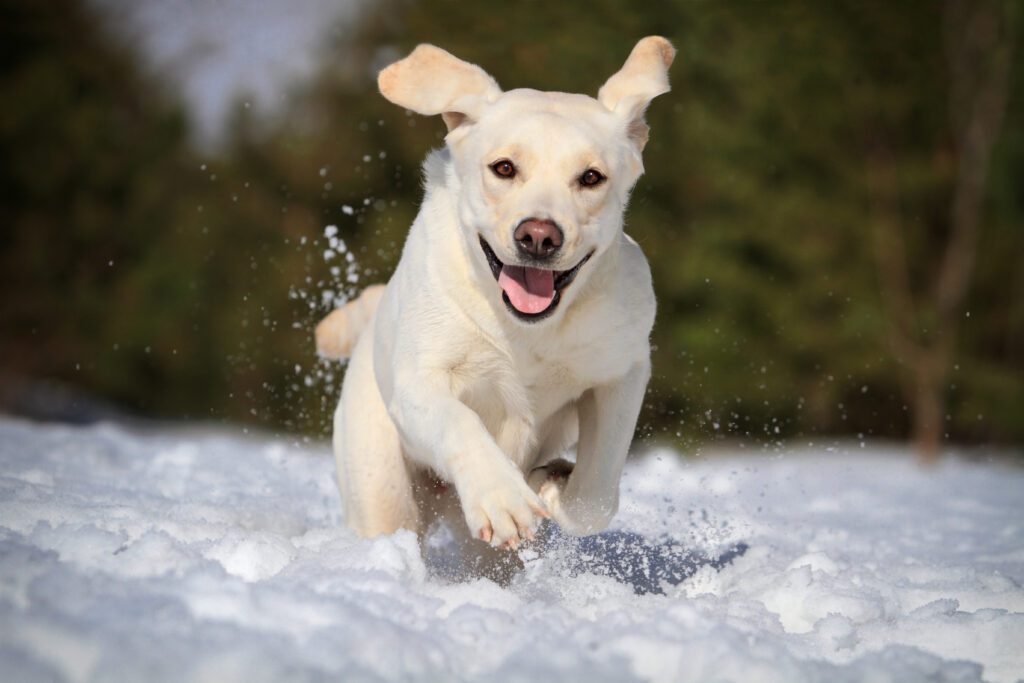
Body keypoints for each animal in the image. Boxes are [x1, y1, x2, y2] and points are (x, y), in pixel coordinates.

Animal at [317, 34, 671, 565]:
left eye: (591, 177)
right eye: (504, 168)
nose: (539, 237)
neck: (528, 334)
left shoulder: (621, 374)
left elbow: (597, 492)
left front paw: (550, 483)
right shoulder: (419, 384)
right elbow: (460, 422)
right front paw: (502, 499)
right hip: (381, 486)